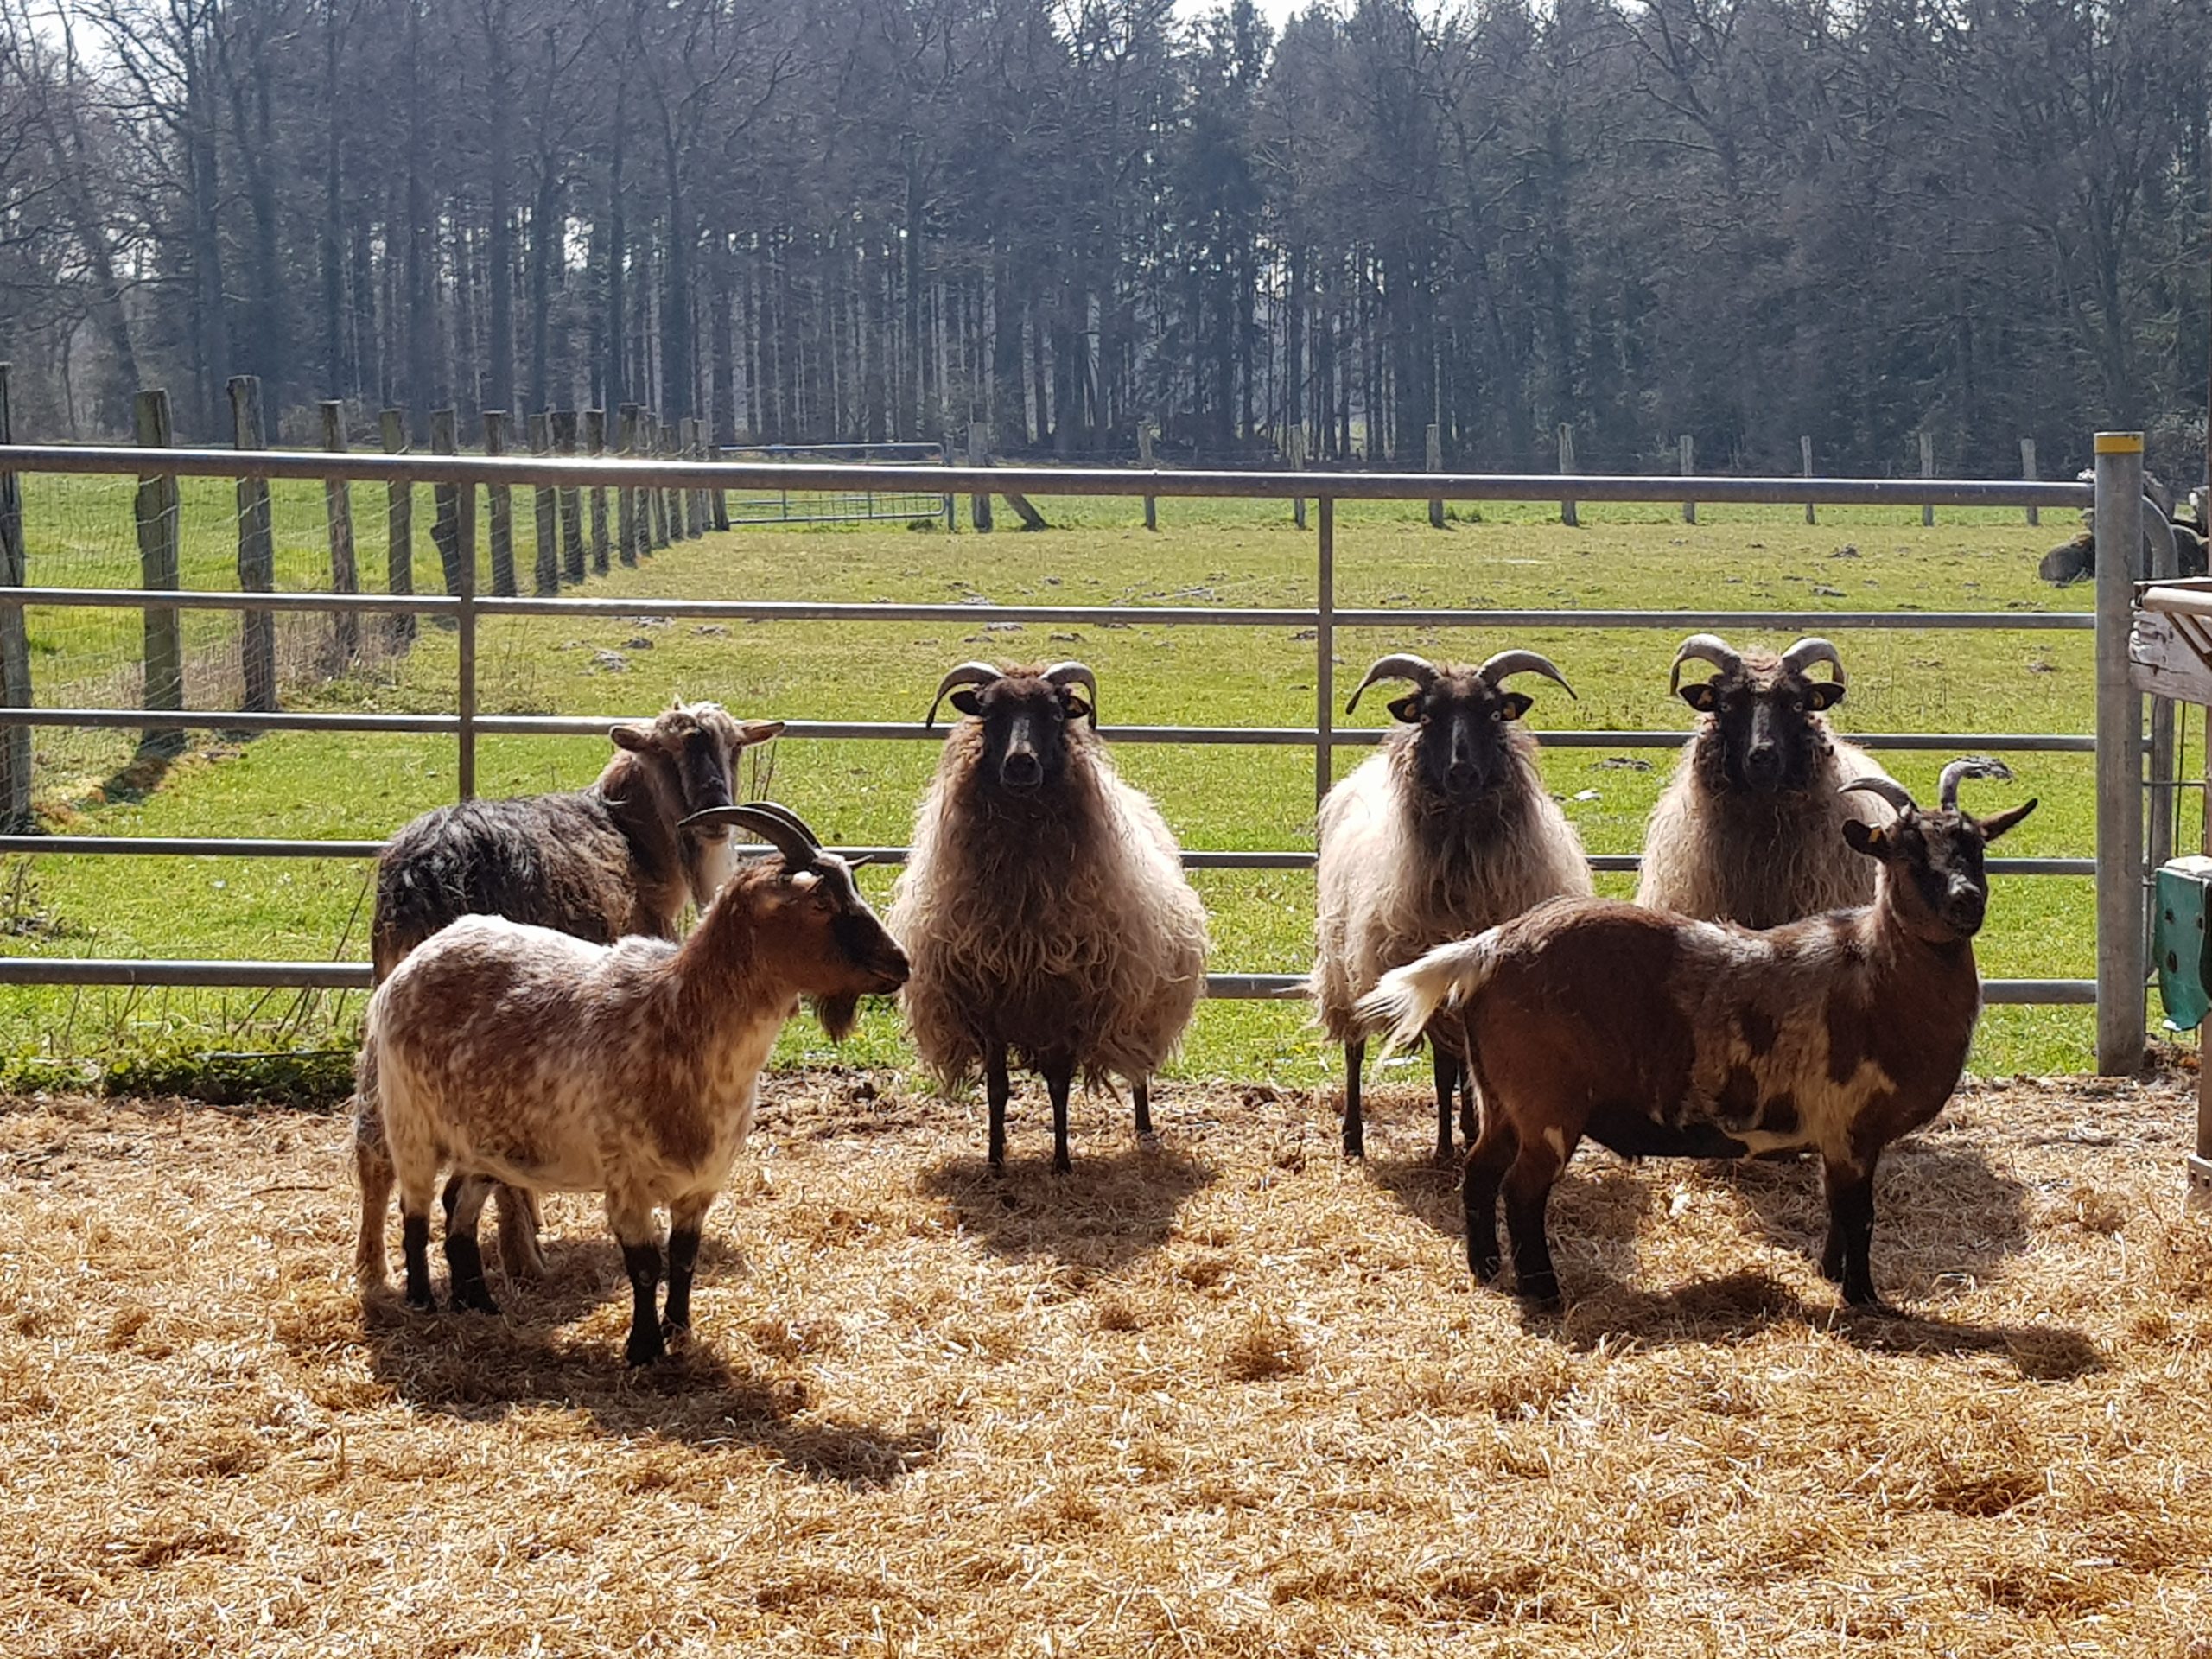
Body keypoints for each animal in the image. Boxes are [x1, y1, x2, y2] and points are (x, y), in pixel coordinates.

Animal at [354, 699, 782, 1291]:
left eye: (734, 746)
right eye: (666, 752)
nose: (716, 815)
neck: (631, 834)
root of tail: (429, 870)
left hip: (391, 1003)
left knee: (373, 1134)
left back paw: (373, 1268)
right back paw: (523, 1257)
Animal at [358, 802, 909, 1366]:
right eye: (820, 901)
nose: (900, 963)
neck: (677, 1017)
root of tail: (418, 958)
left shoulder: (702, 1185)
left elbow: (683, 1260)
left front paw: (679, 1333)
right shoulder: (626, 1180)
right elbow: (644, 1264)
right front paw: (644, 1348)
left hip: (487, 1142)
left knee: (459, 1206)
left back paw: (478, 1303)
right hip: (410, 1122)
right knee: (416, 1208)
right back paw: (422, 1300)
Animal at [887, 660, 1208, 1173]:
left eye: (1056, 714)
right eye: (988, 712)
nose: (1021, 764)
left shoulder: (1065, 1001)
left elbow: (1058, 1087)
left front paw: (1061, 1163)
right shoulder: (988, 1003)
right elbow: (998, 1089)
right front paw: (996, 1160)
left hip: (1142, 997)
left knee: (1138, 1068)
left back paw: (1144, 1130)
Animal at [1311, 650, 1593, 1162]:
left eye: (1494, 713)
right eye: (1426, 715)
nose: (1462, 773)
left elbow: (1473, 1069)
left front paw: (1473, 1130)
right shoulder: (1431, 982)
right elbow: (1445, 1071)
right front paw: (1445, 1148)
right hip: (1345, 966)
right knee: (1354, 1049)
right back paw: (1353, 1137)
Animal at [1358, 758, 2035, 1311]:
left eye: (1975, 847)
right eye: (1903, 851)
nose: (1966, 901)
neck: (1872, 970)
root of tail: (1488, 947)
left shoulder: (1838, 1135)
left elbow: (1838, 1212)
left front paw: (1831, 1274)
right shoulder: (1850, 1124)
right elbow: (1860, 1216)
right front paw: (1863, 1297)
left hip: (1502, 1099)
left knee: (1478, 1173)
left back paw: (1486, 1269)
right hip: (1547, 1103)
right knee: (1522, 1191)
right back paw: (1543, 1291)